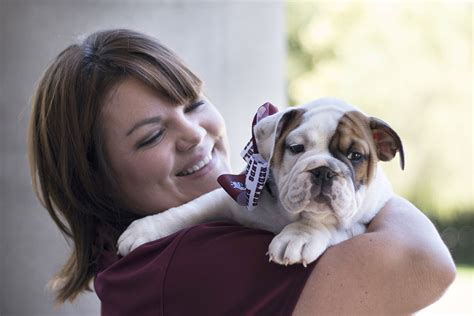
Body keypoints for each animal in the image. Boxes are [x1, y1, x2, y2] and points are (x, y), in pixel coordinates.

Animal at [116, 97, 402, 266]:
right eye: (296, 148)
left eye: (356, 156)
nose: (323, 171)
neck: (285, 215)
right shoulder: (229, 198)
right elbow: (192, 209)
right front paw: (145, 229)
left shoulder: (362, 223)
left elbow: (322, 222)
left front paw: (298, 236)